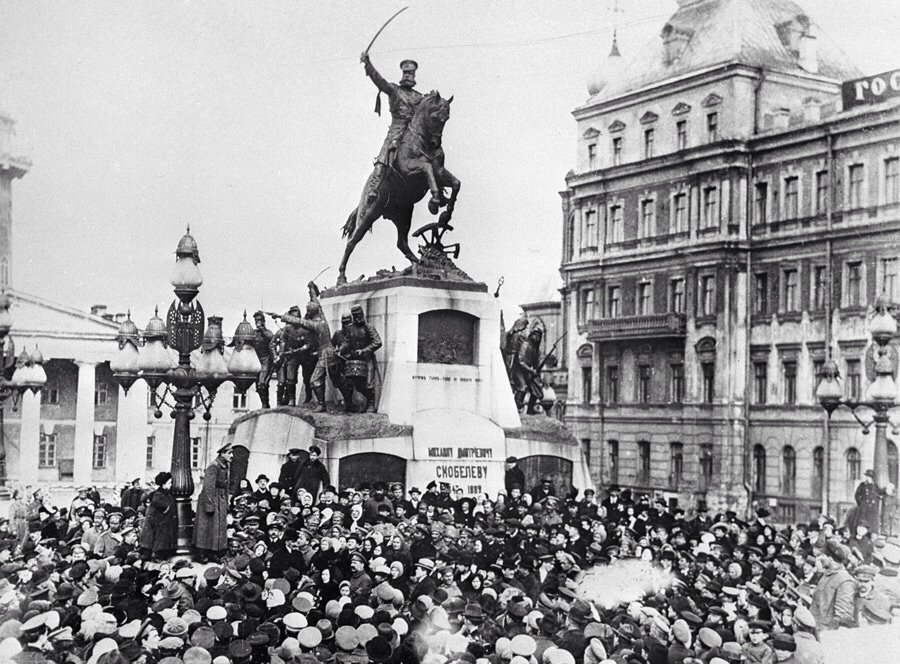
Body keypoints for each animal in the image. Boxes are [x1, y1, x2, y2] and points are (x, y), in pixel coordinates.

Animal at [340, 90, 460, 282]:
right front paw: (435, 201)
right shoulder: (410, 169)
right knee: (352, 241)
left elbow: (456, 183)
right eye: (435, 117)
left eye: (446, 118)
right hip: (369, 214)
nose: (436, 144)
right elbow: (427, 168)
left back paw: (417, 265)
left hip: (404, 216)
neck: (421, 141)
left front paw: (446, 212)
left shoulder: (440, 172)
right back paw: (341, 278)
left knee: (401, 243)